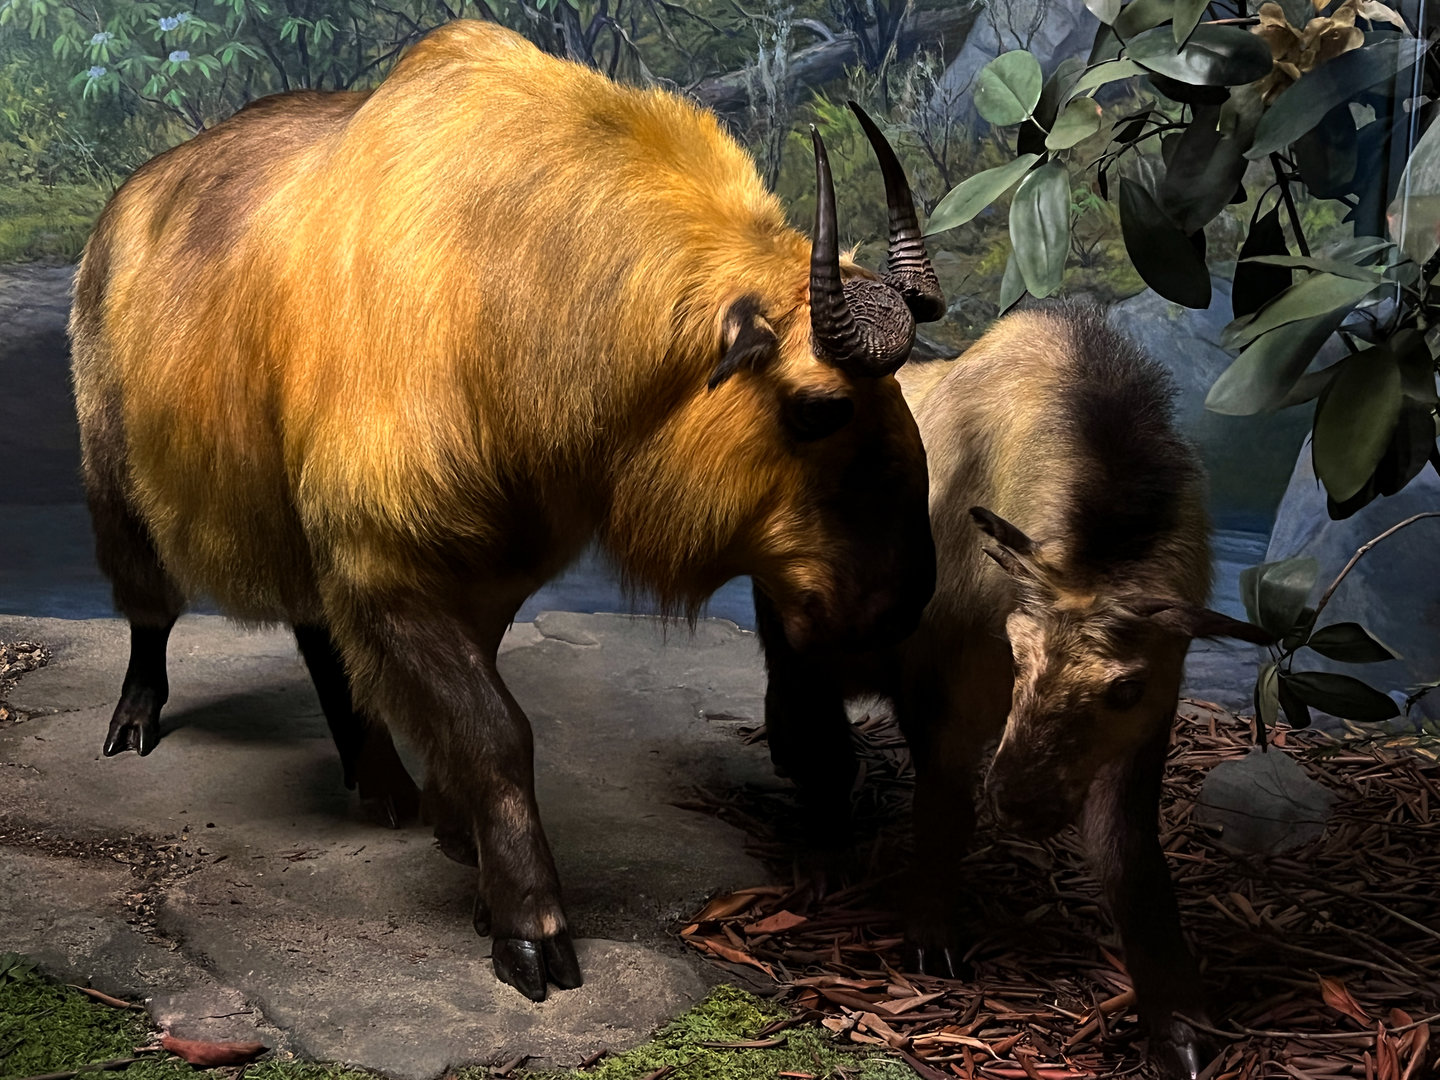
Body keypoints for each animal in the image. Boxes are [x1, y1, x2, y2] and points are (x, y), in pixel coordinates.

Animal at [69, 20, 941, 1002]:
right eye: (818, 408)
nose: (905, 601)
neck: (516, 278)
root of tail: (120, 206)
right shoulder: (387, 564)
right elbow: (495, 731)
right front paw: (529, 920)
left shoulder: (493, 566)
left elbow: (467, 711)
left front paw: (461, 836)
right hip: (116, 483)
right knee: (151, 606)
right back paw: (138, 719)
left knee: (321, 642)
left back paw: (377, 779)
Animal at [756, 304, 1272, 1079]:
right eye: (1018, 654)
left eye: (1127, 688)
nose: (1023, 803)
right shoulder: (950, 684)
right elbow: (944, 807)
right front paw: (930, 933)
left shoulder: (1152, 714)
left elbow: (1131, 861)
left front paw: (1181, 1025)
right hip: (796, 639)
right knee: (814, 734)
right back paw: (821, 850)